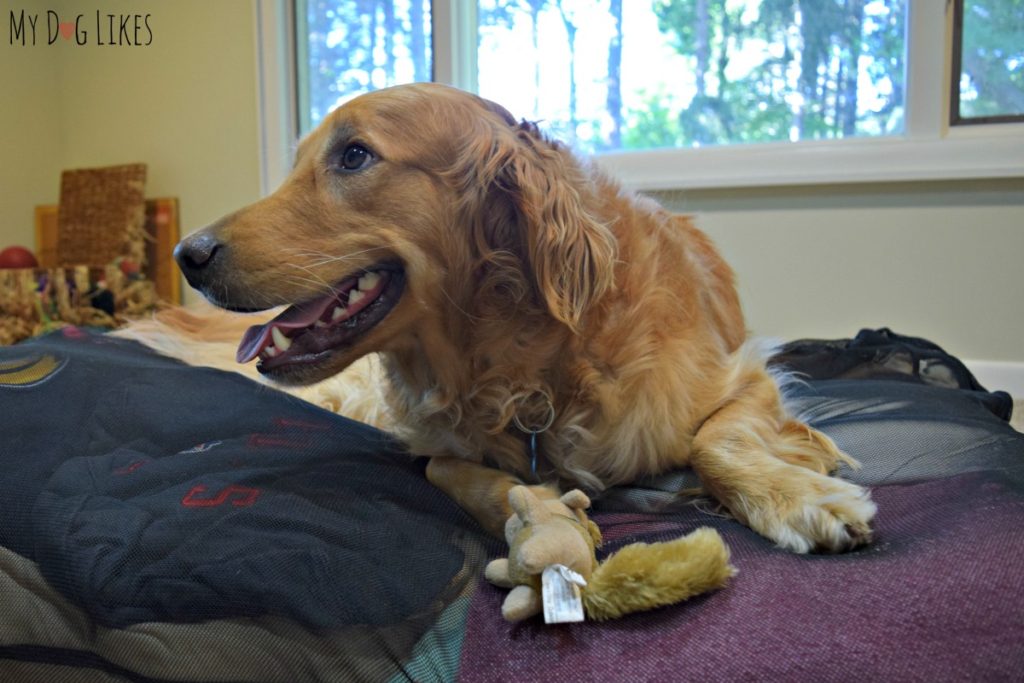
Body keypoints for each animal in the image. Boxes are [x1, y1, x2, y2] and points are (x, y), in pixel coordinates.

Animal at [136, 83, 876, 557]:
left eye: (354, 155)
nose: (188, 254)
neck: (526, 365)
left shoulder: (746, 377)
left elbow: (714, 441)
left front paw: (803, 498)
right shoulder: (430, 440)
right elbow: (449, 470)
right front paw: (540, 514)